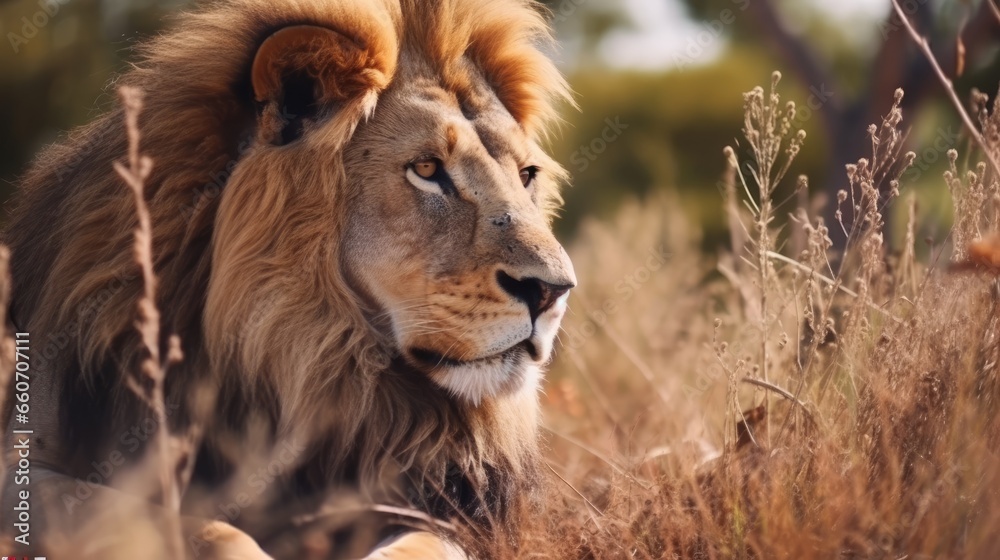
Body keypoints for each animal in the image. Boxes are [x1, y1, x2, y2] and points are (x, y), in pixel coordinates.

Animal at [3, 1, 576, 560]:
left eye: (527, 175)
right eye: (428, 169)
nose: (553, 290)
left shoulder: (440, 503)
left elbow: (423, 546)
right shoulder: (26, 463)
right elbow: (191, 529)